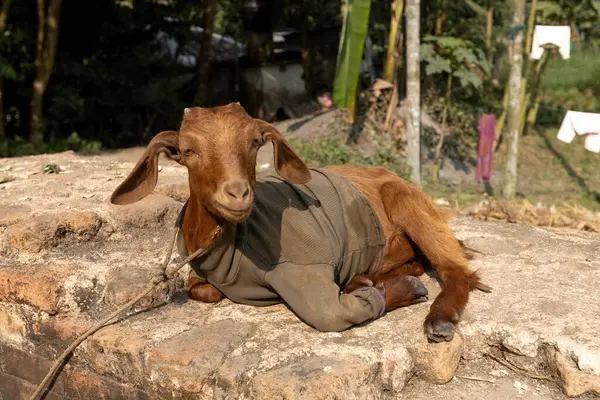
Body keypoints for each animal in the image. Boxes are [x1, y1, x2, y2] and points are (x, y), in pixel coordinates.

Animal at [110, 102, 490, 340]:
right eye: (188, 151)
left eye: (254, 143)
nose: (237, 194)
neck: (230, 246)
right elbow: (199, 289)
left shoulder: (304, 269)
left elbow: (333, 313)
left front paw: (407, 291)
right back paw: (363, 278)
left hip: (409, 203)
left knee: (457, 271)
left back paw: (439, 321)